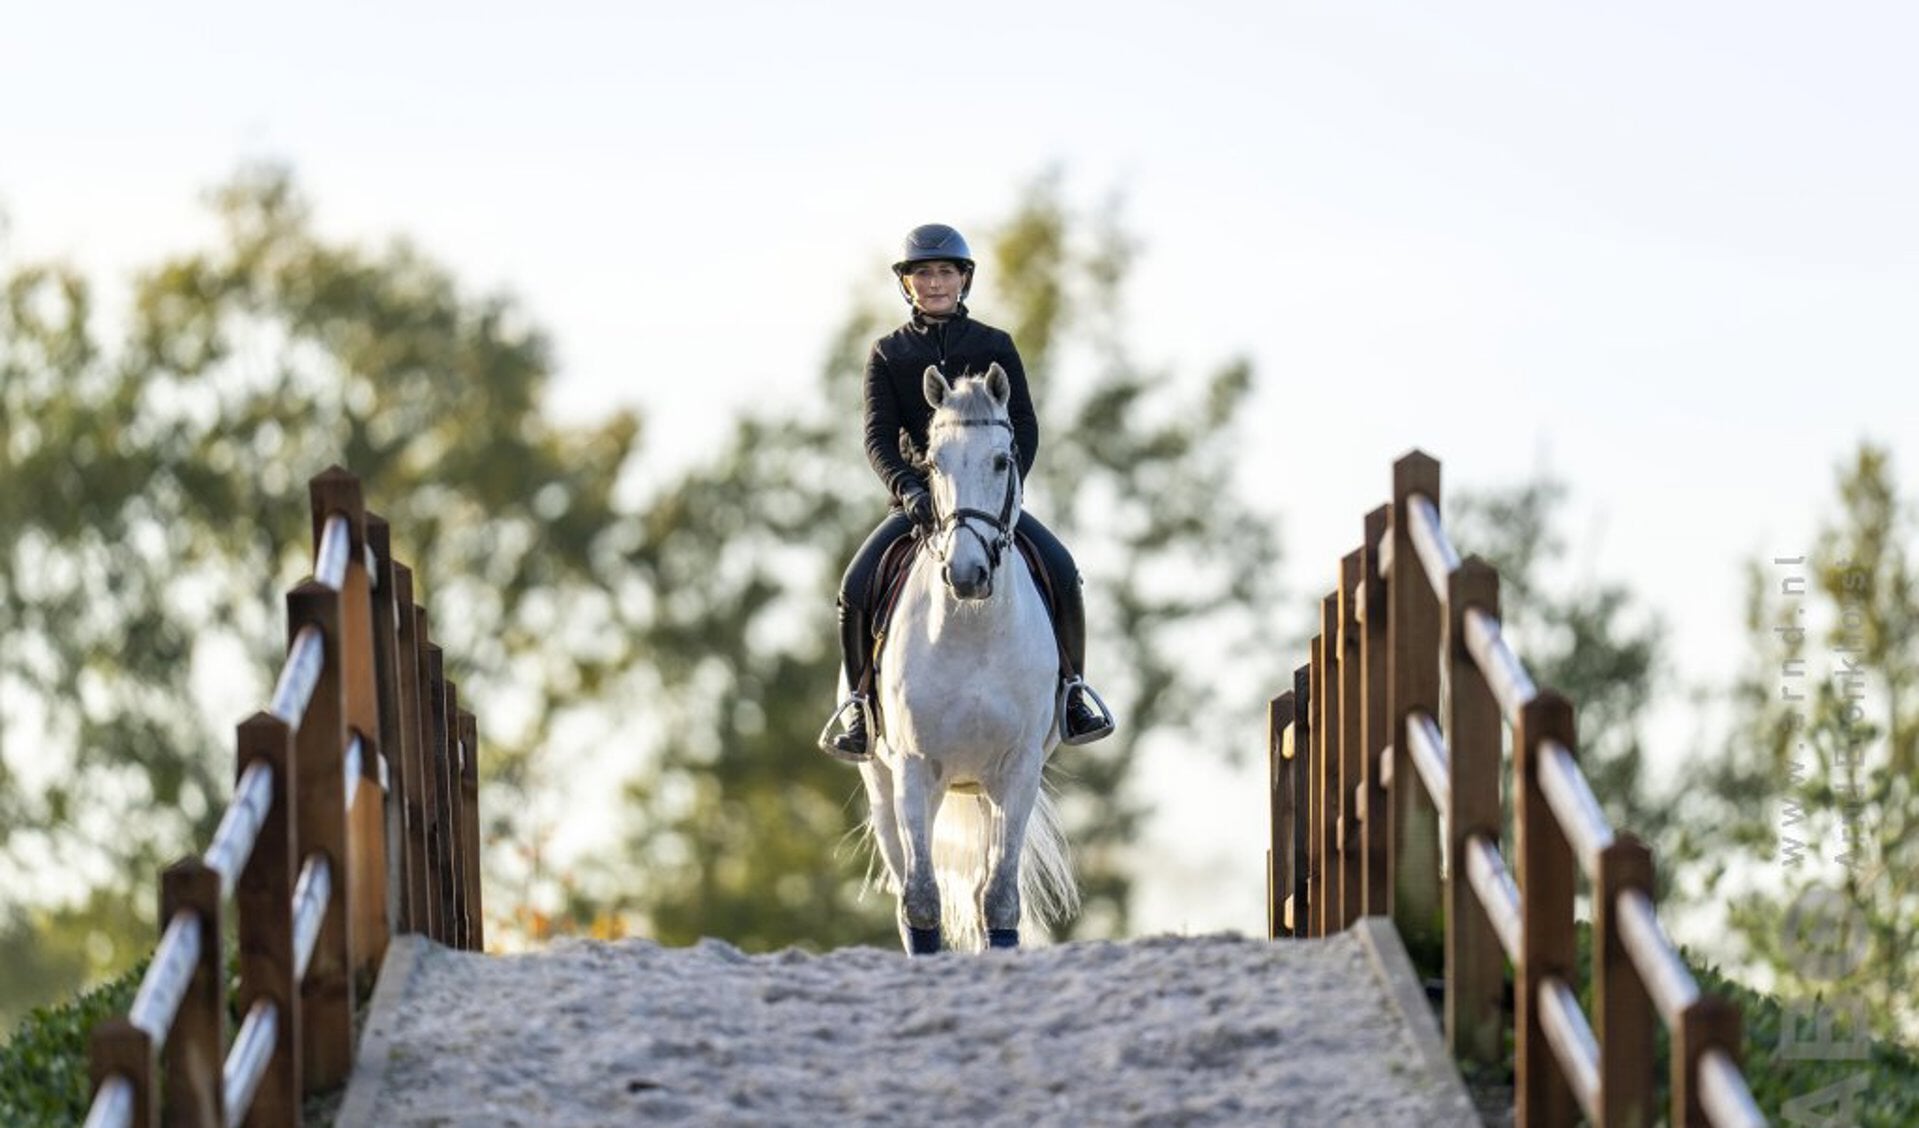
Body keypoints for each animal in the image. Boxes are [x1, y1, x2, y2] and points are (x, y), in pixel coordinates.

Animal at [856, 362, 1080, 955]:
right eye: (934, 463)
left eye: (1002, 460)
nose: (966, 573)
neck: (971, 626)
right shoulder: (913, 769)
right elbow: (921, 899)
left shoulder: (1017, 770)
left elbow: (997, 897)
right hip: (885, 788)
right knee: (909, 890)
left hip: (982, 789)